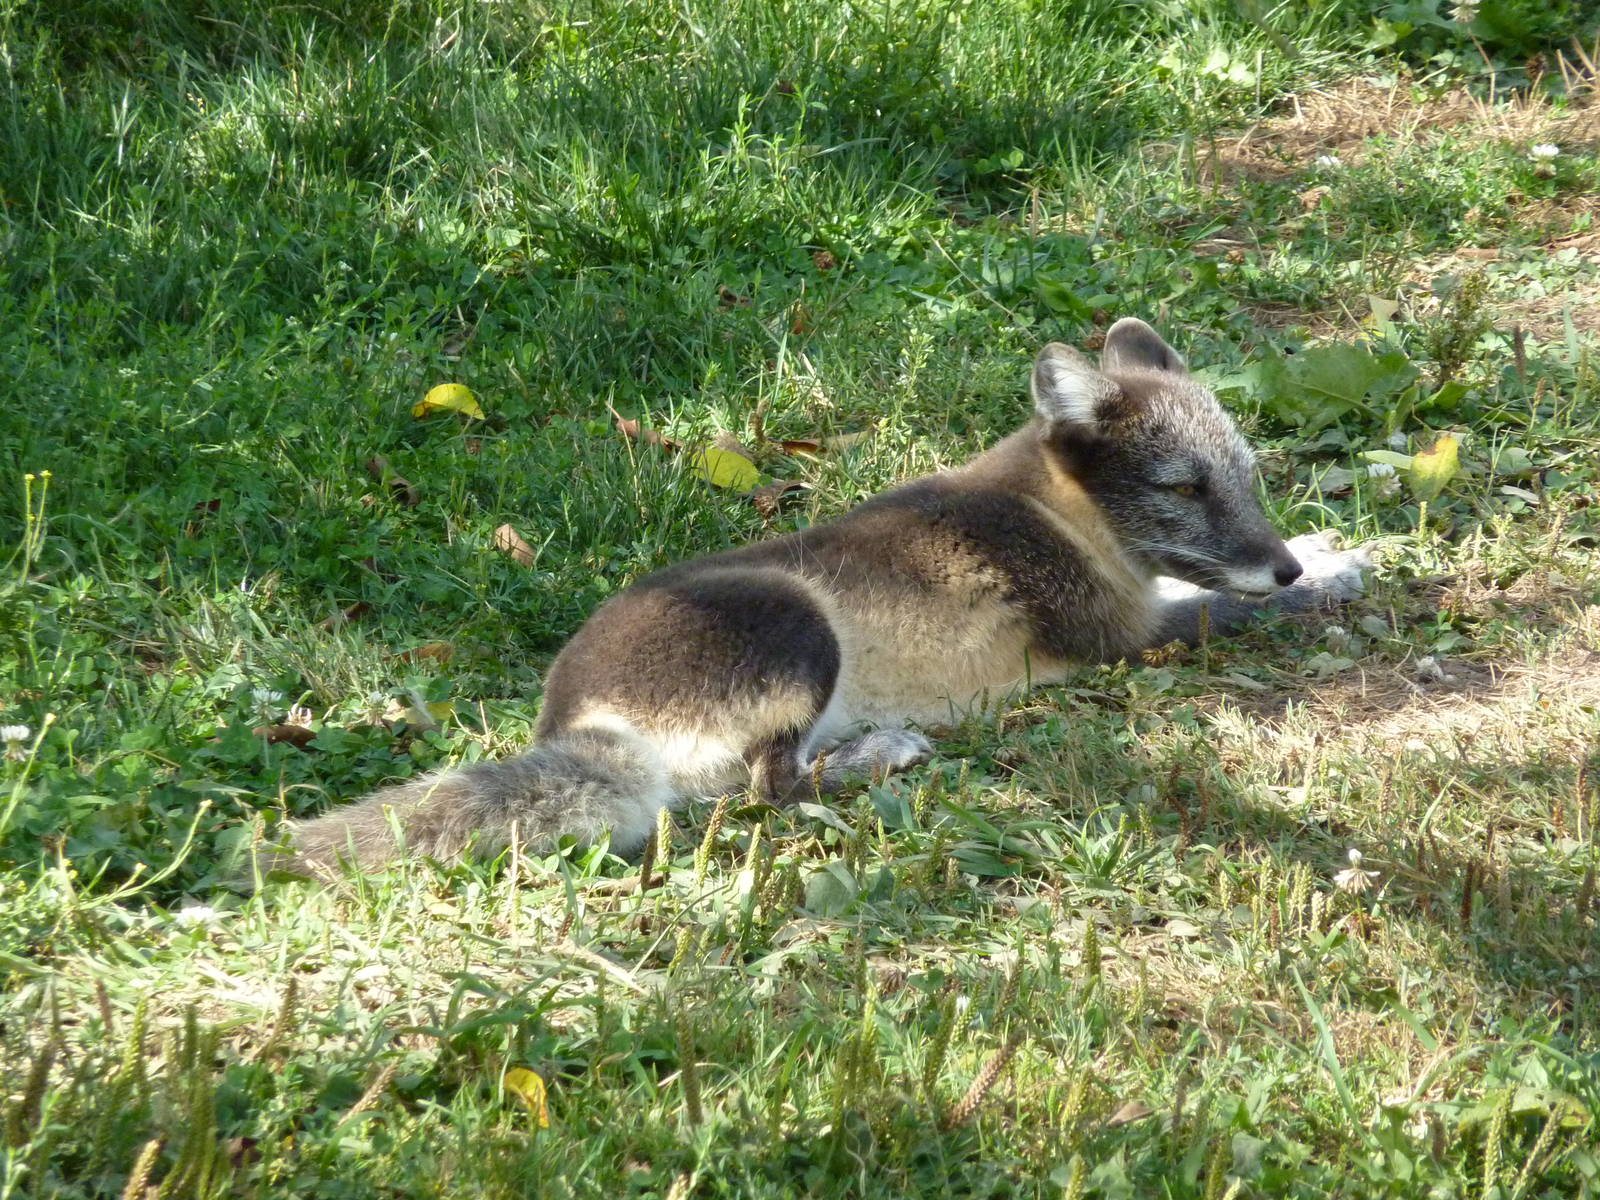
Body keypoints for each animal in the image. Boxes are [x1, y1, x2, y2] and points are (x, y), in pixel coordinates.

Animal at [286, 318, 1372, 876]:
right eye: (1183, 488)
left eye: (1246, 477)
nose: (1278, 562)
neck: (1053, 509)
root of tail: (578, 721)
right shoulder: (1124, 631)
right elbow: (1218, 606)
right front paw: (1337, 568)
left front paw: (1325, 550)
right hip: (801, 631)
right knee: (768, 793)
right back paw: (882, 753)